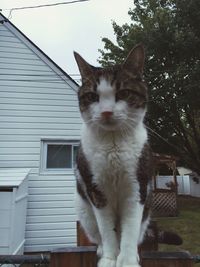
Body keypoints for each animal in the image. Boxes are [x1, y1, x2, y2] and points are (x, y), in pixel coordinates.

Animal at [74, 44, 153, 267]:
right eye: (93, 96)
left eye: (123, 93)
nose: (107, 112)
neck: (113, 144)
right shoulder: (96, 190)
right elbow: (107, 230)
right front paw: (110, 258)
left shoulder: (137, 187)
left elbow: (130, 229)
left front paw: (127, 260)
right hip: (84, 211)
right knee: (98, 233)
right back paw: (102, 249)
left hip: (148, 210)